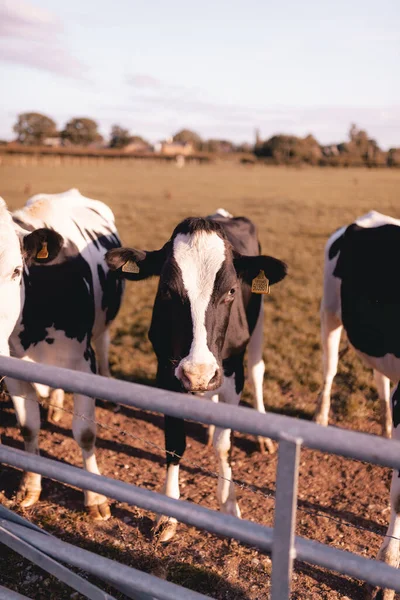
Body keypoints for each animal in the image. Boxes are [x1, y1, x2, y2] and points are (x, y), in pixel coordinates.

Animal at [0, 189, 123, 520]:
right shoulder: (12, 368)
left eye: (16, 271)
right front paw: (30, 487)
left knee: (104, 343)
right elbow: (28, 427)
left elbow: (85, 433)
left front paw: (95, 498)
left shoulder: (83, 363)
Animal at [106, 210, 288, 540]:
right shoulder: (166, 373)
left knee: (258, 370)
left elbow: (225, 445)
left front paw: (229, 505)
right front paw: (167, 515)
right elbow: (174, 445)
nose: (198, 372)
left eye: (231, 291)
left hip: (257, 324)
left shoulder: (232, 371)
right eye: (166, 289)